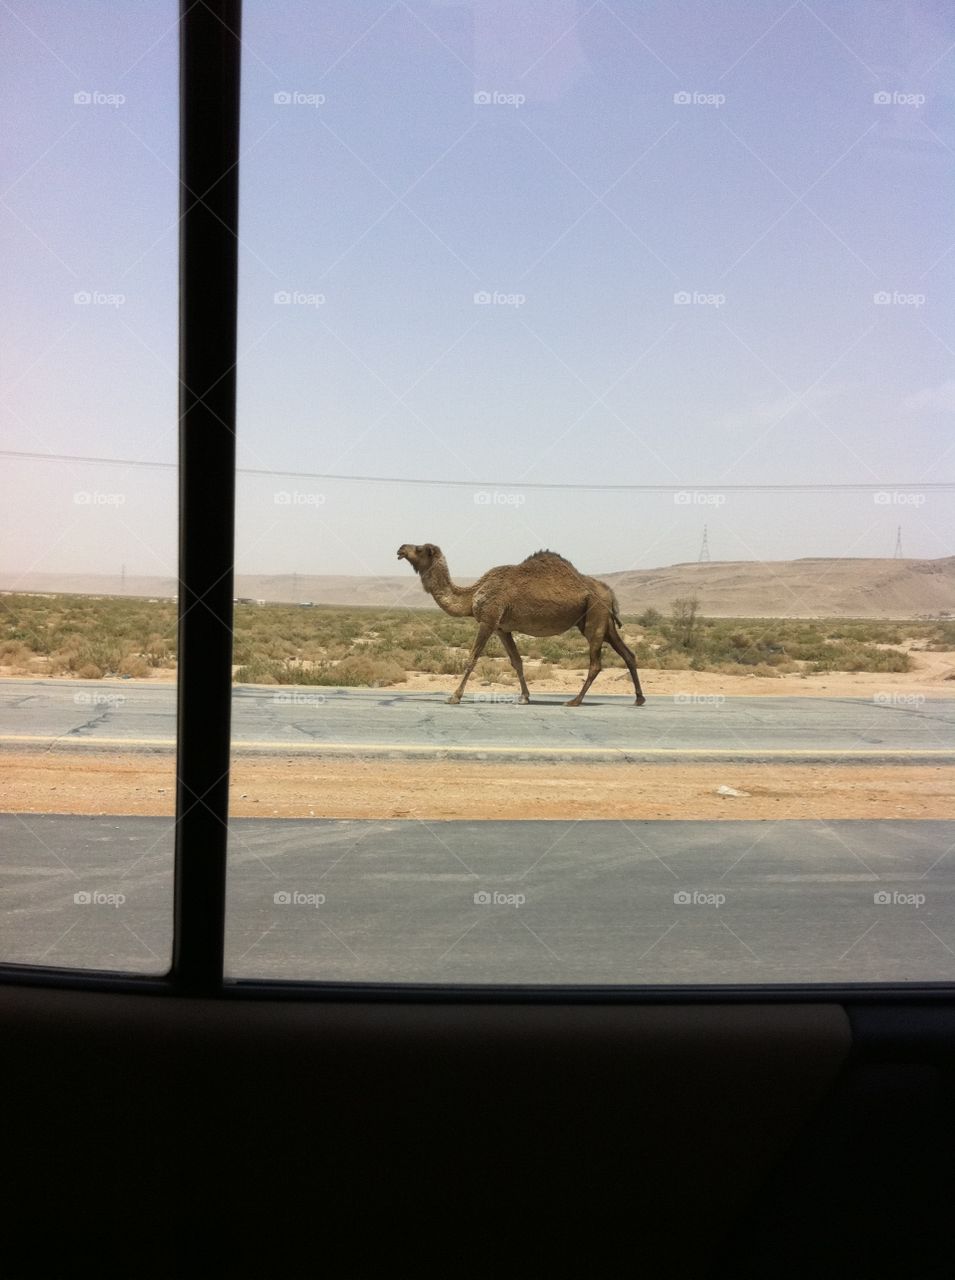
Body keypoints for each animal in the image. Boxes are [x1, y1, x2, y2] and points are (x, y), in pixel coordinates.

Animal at [397, 543, 646, 707]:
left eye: (419, 549)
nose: (400, 549)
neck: (472, 595)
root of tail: (610, 593)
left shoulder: (488, 620)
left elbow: (471, 658)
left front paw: (454, 696)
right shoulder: (502, 628)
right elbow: (516, 662)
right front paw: (525, 697)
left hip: (595, 613)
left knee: (595, 663)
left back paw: (574, 701)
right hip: (602, 621)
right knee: (628, 654)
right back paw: (639, 699)